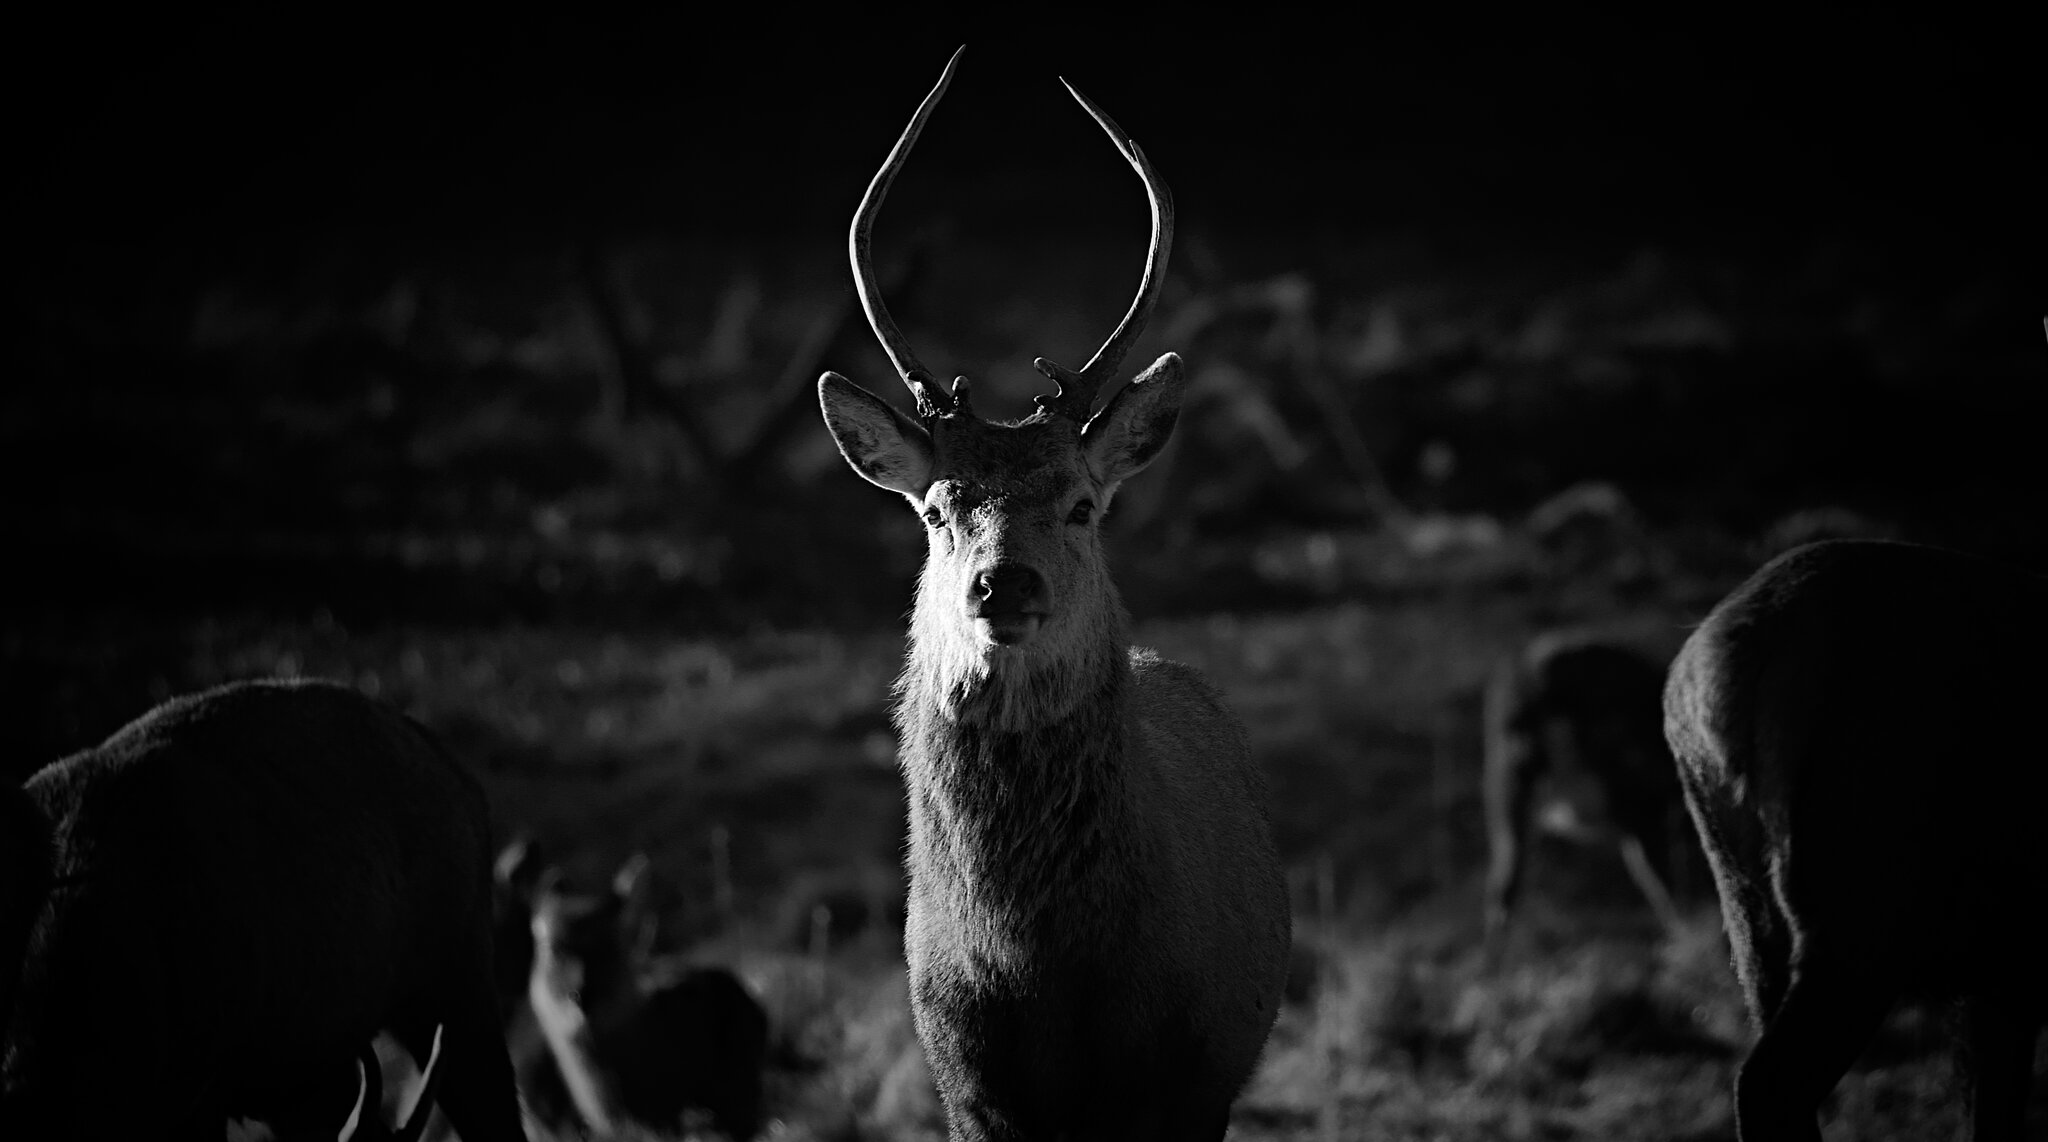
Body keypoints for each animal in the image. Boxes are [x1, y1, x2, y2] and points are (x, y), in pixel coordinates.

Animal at [819, 47, 1286, 1142]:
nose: (1004, 581)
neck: (1053, 974)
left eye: (1079, 504)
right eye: (937, 508)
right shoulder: (967, 1083)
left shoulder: (1189, 1074)